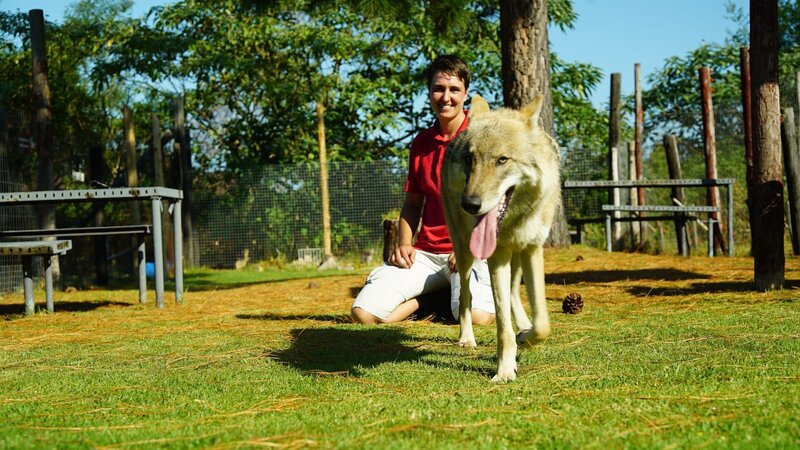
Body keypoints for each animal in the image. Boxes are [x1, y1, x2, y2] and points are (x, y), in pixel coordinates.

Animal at [442, 94, 561, 382]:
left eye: (502, 160)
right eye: (470, 159)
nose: (469, 204)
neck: (513, 222)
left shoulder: (532, 249)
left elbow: (543, 323)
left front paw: (526, 336)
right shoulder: (496, 256)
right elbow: (503, 326)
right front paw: (505, 370)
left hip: (516, 256)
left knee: (514, 293)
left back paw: (524, 326)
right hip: (464, 252)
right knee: (466, 296)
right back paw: (467, 339)